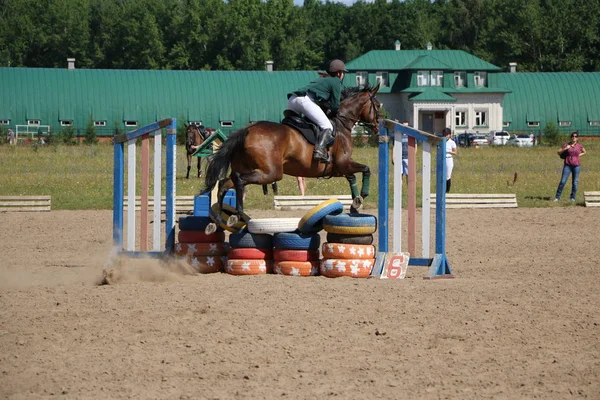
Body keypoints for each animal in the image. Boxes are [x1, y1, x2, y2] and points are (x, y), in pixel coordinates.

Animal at [202, 83, 380, 228]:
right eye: (377, 105)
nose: (378, 126)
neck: (342, 125)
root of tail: (247, 130)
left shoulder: (338, 169)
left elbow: (352, 177)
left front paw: (355, 203)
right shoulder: (343, 163)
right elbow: (366, 169)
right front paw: (362, 196)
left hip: (248, 168)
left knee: (225, 183)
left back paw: (217, 219)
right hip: (271, 173)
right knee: (239, 180)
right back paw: (237, 213)